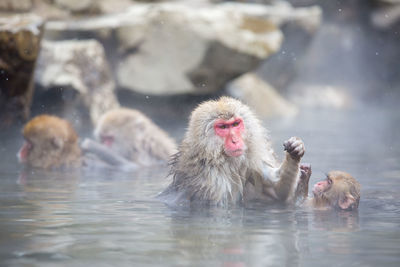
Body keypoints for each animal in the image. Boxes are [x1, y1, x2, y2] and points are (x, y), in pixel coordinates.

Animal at [159, 97, 306, 207]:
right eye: (223, 127)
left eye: (235, 124)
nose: (235, 140)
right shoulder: (213, 181)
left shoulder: (250, 163)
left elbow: (277, 192)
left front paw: (295, 150)